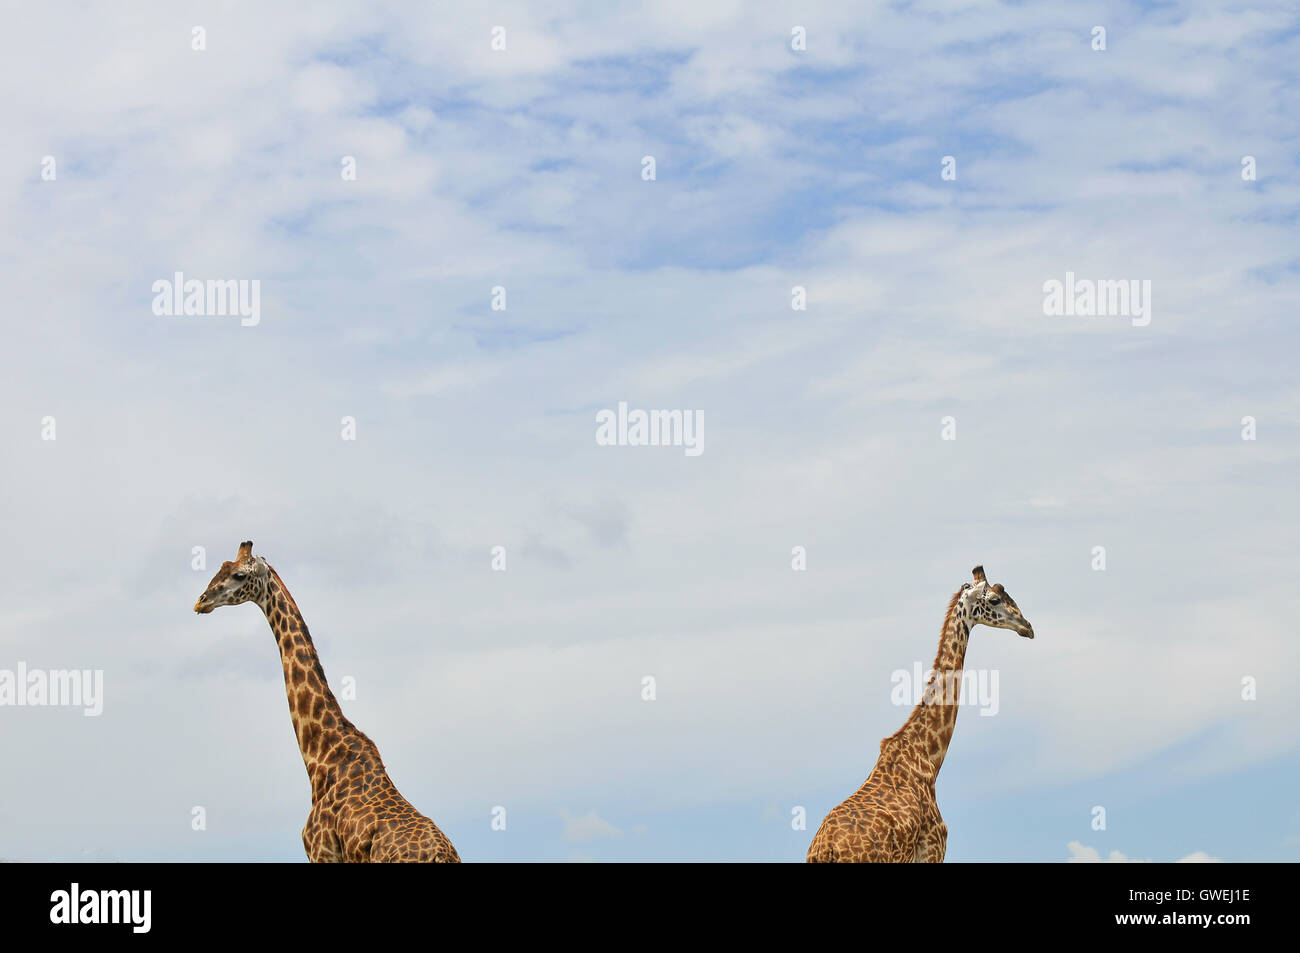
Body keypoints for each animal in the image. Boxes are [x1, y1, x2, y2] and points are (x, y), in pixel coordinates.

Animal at [193, 541, 460, 863]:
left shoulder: (321, 852)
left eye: (240, 576)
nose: (201, 601)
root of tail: (443, 855)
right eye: (222, 567)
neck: (321, 757)